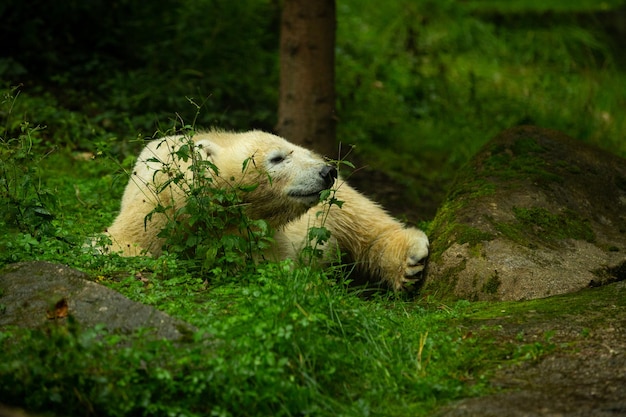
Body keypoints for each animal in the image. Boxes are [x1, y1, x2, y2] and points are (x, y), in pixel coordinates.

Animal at [106, 130, 428, 290]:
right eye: (277, 157)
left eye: (301, 152)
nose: (327, 171)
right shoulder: (153, 208)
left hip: (333, 207)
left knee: (362, 219)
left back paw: (409, 262)